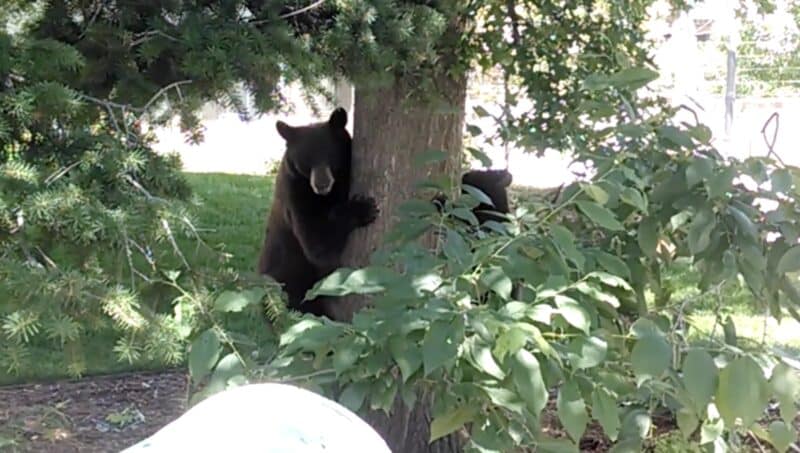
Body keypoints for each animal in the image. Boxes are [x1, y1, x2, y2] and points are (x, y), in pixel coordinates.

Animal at [257, 107, 378, 319]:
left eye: (331, 156)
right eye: (305, 160)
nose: (321, 184)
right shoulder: (296, 194)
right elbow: (318, 244)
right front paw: (363, 208)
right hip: (293, 283)